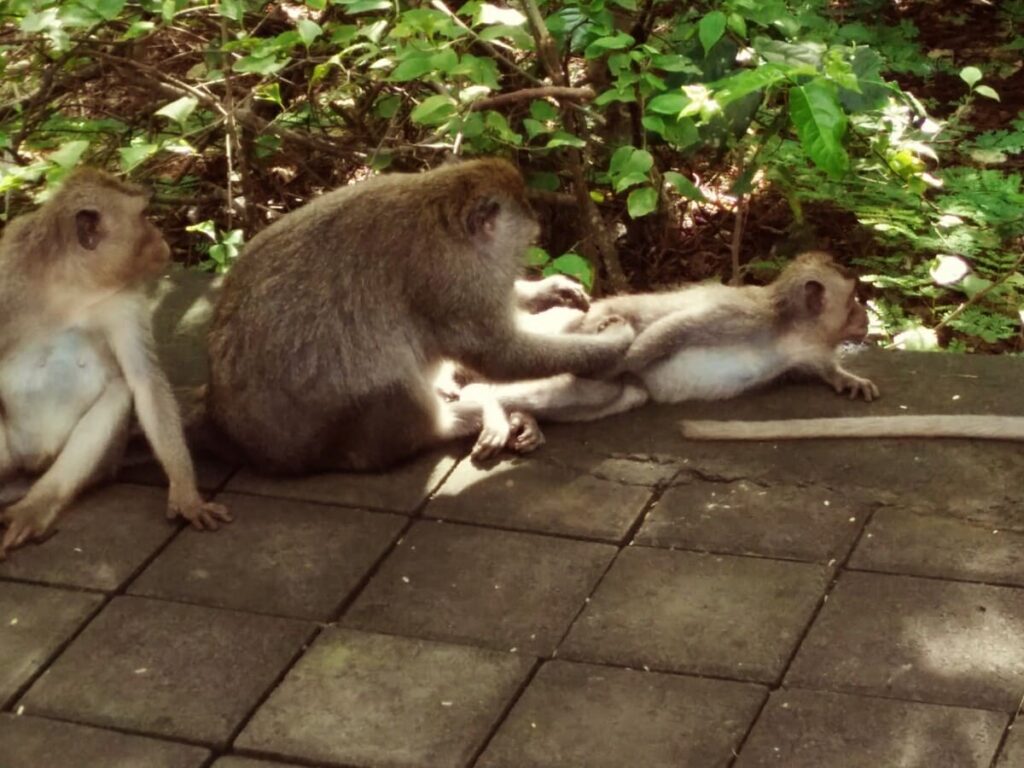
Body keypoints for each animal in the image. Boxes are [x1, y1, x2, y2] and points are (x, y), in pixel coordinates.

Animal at [0, 167, 230, 557]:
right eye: (144, 216)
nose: (161, 237)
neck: (69, 286)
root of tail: (29, 467)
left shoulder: (124, 301)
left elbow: (143, 380)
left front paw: (187, 495)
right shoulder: (7, 276)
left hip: (94, 464)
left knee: (120, 390)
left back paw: (36, 506)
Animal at [460, 250, 876, 456]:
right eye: (851, 299)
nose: (865, 314)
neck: (788, 328)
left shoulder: (802, 350)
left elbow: (819, 367)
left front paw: (847, 378)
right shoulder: (740, 315)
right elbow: (675, 328)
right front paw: (626, 356)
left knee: (610, 396)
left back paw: (523, 418)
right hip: (563, 337)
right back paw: (489, 401)